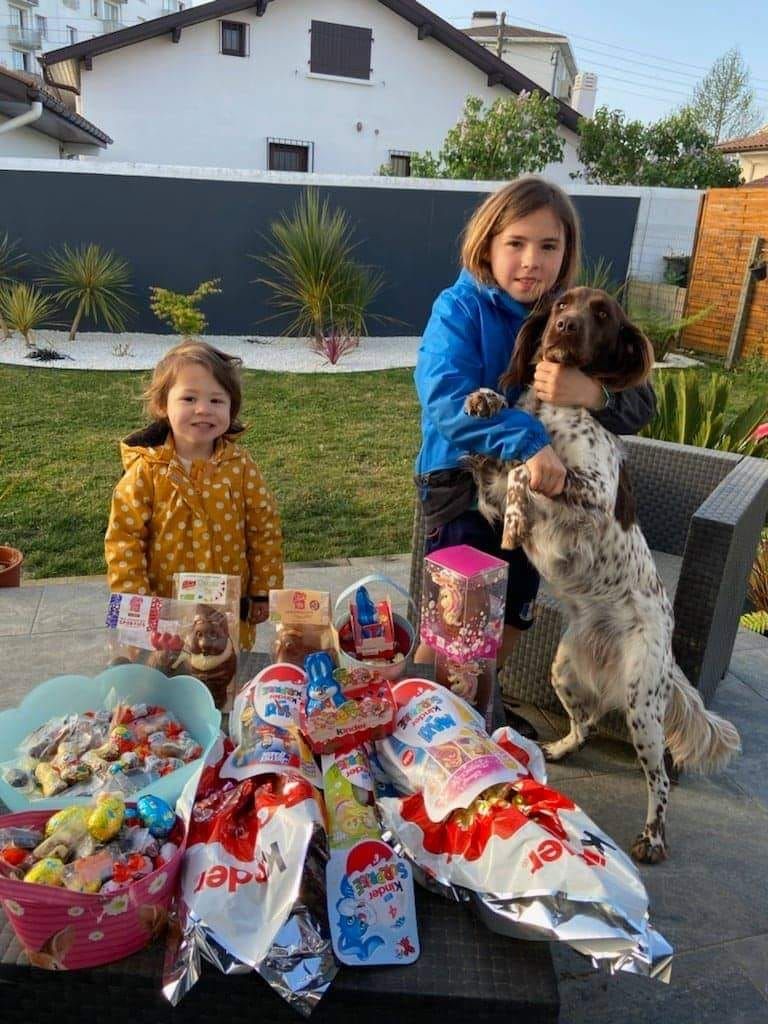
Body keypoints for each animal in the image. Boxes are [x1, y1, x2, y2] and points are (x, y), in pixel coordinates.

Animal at [462, 288, 741, 864]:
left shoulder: (591, 486)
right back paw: (559, 747)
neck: (555, 406)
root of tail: (669, 653)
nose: (564, 326)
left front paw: (520, 512)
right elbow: (503, 460)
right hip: (564, 668)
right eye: (561, 305)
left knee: (658, 779)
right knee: (586, 722)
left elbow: (528, 469)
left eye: (602, 314)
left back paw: (653, 837)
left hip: (642, 703)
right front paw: (486, 400)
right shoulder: (495, 490)